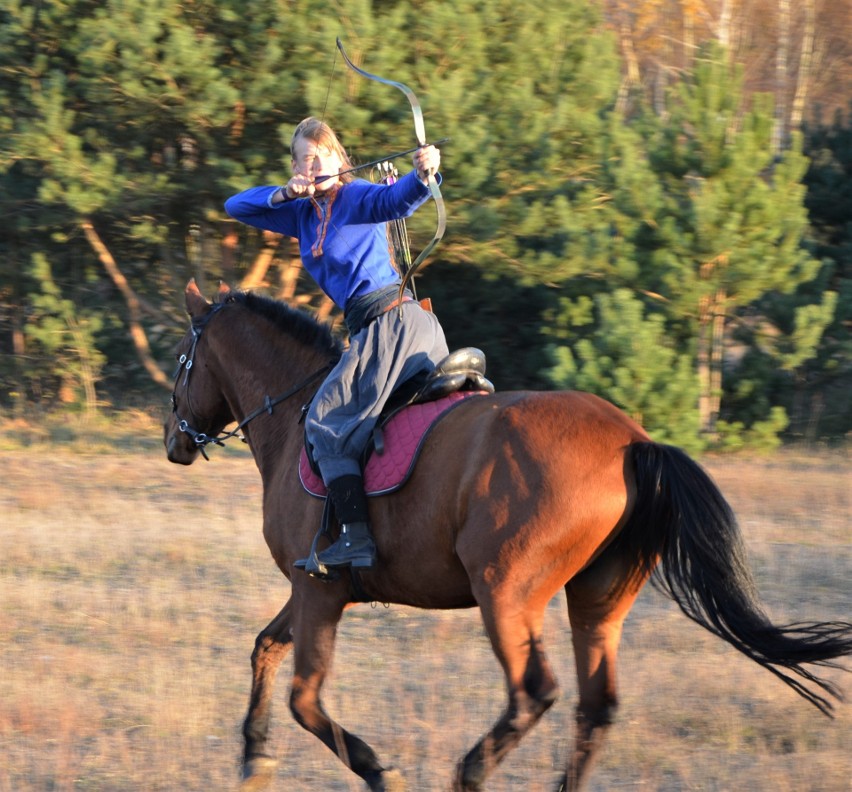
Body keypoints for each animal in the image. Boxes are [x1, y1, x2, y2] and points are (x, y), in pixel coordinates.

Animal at [163, 280, 848, 792]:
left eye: (181, 361)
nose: (174, 443)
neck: (297, 413)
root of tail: (634, 443)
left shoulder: (319, 592)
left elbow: (304, 699)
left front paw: (378, 771)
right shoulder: (313, 588)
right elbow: (264, 649)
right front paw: (254, 757)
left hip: (506, 593)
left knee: (533, 694)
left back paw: (469, 773)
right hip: (596, 601)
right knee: (596, 707)